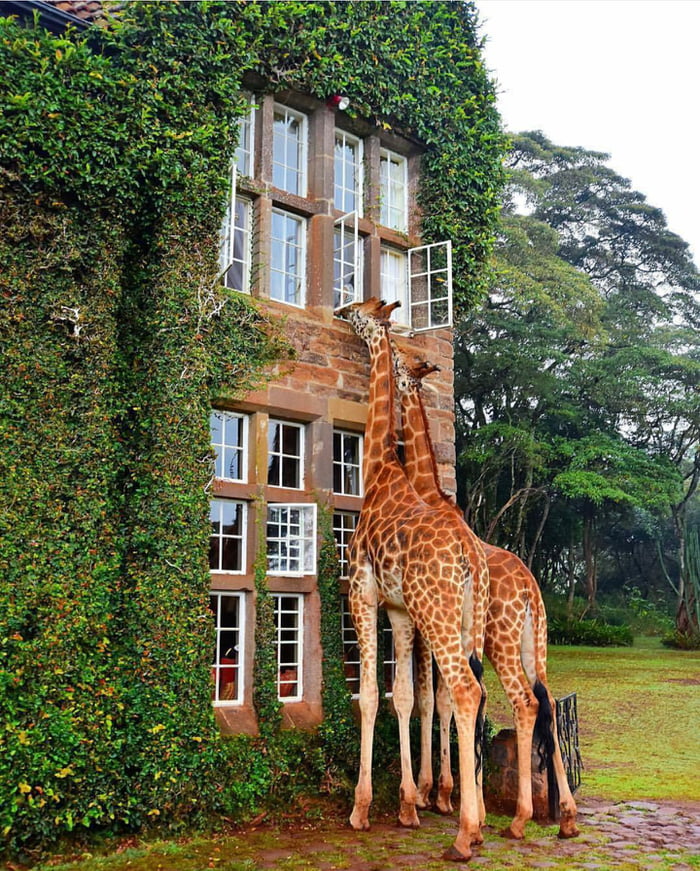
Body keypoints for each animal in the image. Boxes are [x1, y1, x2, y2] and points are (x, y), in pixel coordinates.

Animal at [336, 296, 490, 860]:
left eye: (360, 311)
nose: (341, 310)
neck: (383, 470)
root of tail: (470, 555)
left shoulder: (362, 592)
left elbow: (373, 694)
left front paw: (364, 807)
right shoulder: (401, 610)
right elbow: (403, 695)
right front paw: (408, 801)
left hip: (438, 615)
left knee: (464, 691)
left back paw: (464, 833)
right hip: (464, 620)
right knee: (479, 693)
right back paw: (477, 818)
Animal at [392, 338, 584, 840]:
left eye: (401, 364)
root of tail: (532, 588)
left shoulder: (428, 625)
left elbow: (431, 699)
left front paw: (436, 793)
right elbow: (443, 701)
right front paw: (451, 793)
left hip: (500, 639)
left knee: (523, 701)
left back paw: (517, 819)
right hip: (534, 642)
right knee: (548, 700)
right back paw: (565, 815)